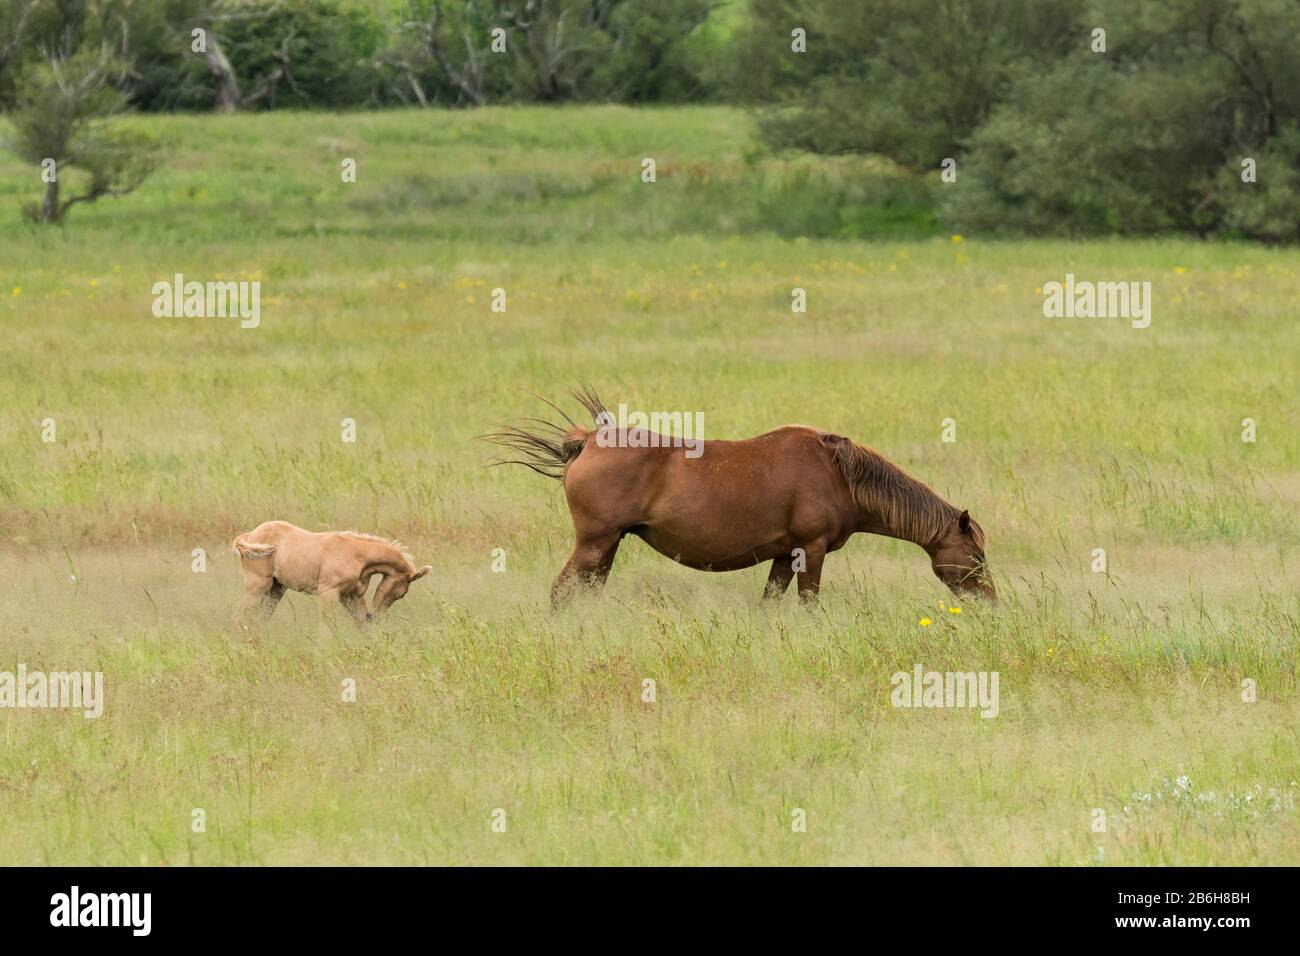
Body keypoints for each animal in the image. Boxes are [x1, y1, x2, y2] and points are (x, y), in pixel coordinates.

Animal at [232, 520, 431, 628]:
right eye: (402, 593)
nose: (375, 616)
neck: (356, 556)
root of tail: (249, 535)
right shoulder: (329, 592)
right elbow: (326, 625)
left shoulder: (352, 595)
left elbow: (360, 622)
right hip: (258, 585)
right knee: (241, 614)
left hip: (277, 588)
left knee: (262, 616)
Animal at [484, 389, 995, 606]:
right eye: (975, 556)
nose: (989, 602)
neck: (838, 475)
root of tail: (589, 440)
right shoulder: (810, 551)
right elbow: (808, 605)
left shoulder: (784, 556)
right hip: (595, 543)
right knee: (561, 592)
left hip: (607, 547)